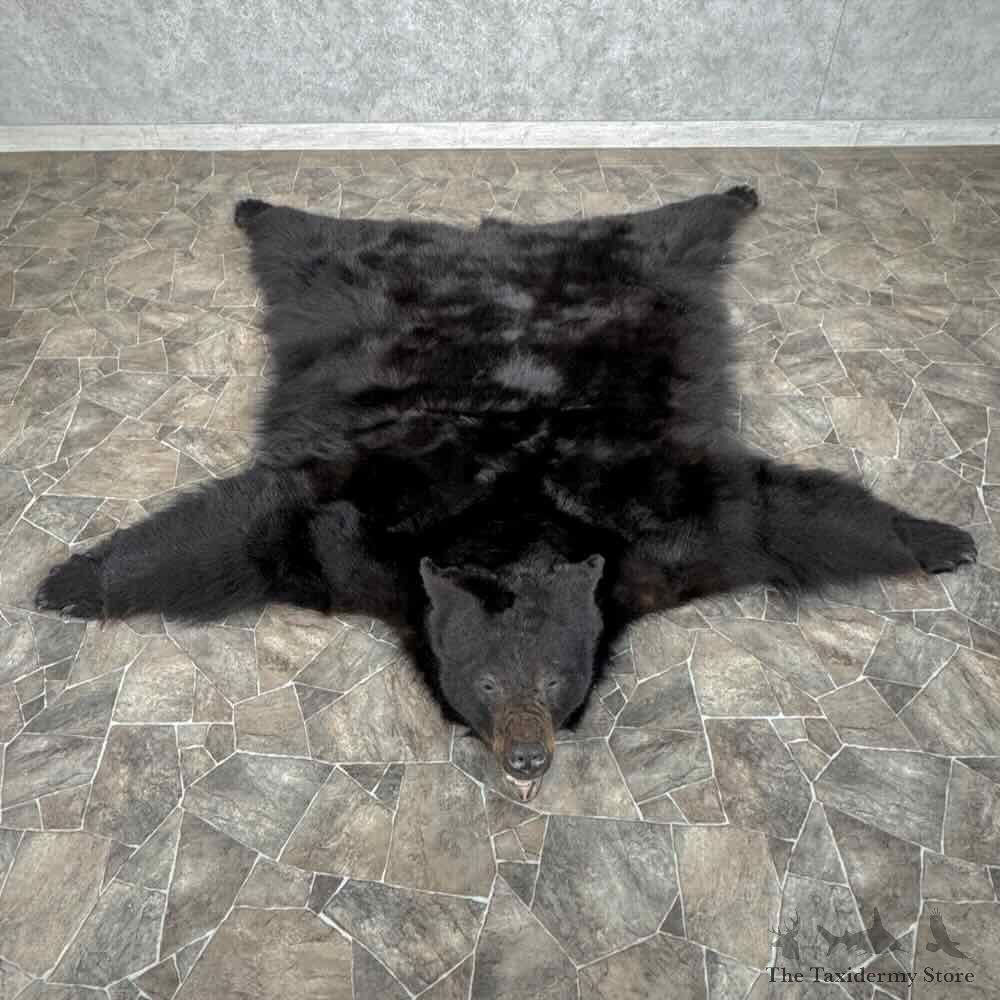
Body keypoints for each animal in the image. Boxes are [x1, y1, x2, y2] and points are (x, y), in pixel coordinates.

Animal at [36, 186, 977, 802]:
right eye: (485, 683)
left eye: (558, 677)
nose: (526, 758)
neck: (511, 520)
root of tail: (486, 245)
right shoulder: (359, 535)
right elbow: (239, 532)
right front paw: (73, 580)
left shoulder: (663, 532)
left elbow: (780, 514)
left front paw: (938, 536)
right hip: (335, 273)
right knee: (303, 236)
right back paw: (258, 206)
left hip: (637, 256)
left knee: (676, 223)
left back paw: (732, 192)